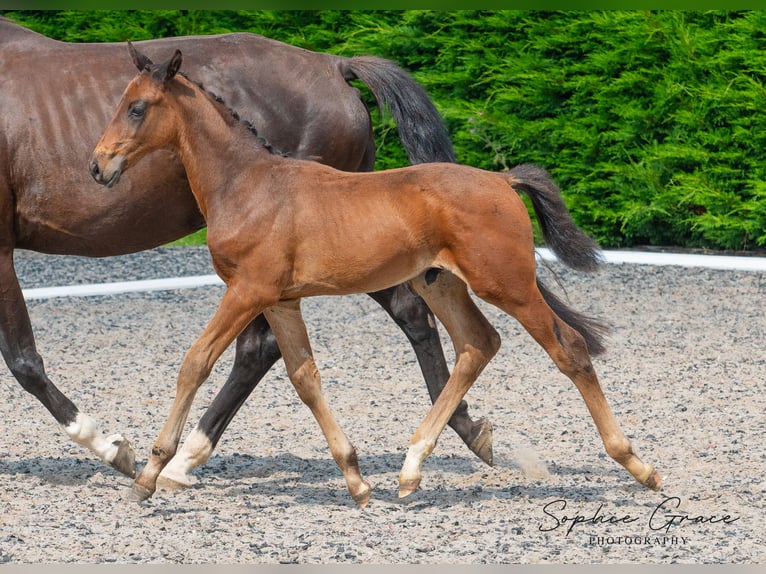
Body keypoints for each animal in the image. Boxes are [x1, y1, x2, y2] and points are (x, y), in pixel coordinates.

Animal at [0, 18, 496, 484]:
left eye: (136, 108)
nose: (97, 166)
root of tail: (334, 65)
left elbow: (24, 361)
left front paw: (111, 448)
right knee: (405, 313)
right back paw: (465, 429)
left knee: (260, 348)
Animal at [91, 49, 664, 508]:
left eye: (137, 108)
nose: (98, 167)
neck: (248, 185)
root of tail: (503, 180)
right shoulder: (280, 300)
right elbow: (305, 377)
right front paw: (356, 480)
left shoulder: (247, 291)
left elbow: (195, 362)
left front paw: (149, 473)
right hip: (441, 283)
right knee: (478, 343)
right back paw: (410, 471)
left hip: (508, 285)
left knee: (568, 348)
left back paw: (639, 466)